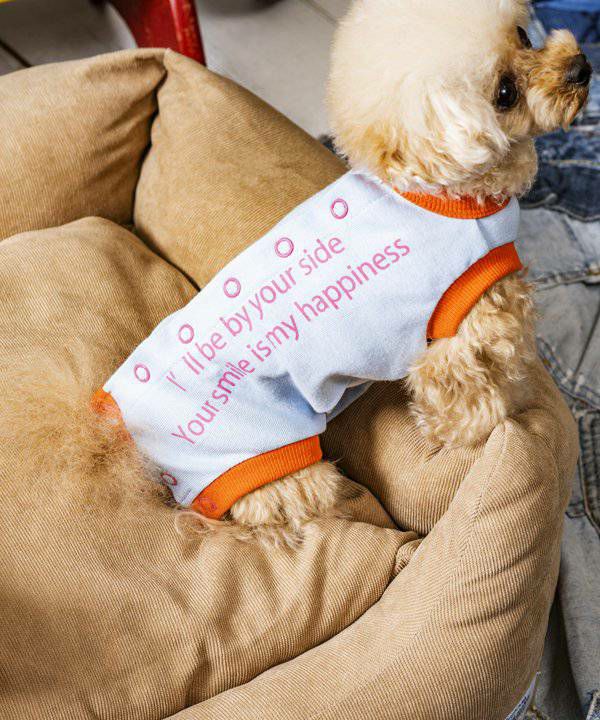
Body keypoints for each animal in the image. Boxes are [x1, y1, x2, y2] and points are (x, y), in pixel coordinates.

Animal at [89, 0, 590, 545]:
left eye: (524, 35)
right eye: (504, 93)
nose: (581, 67)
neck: (441, 193)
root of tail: (124, 425)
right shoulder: (457, 334)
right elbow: (472, 399)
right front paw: (492, 426)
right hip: (272, 467)